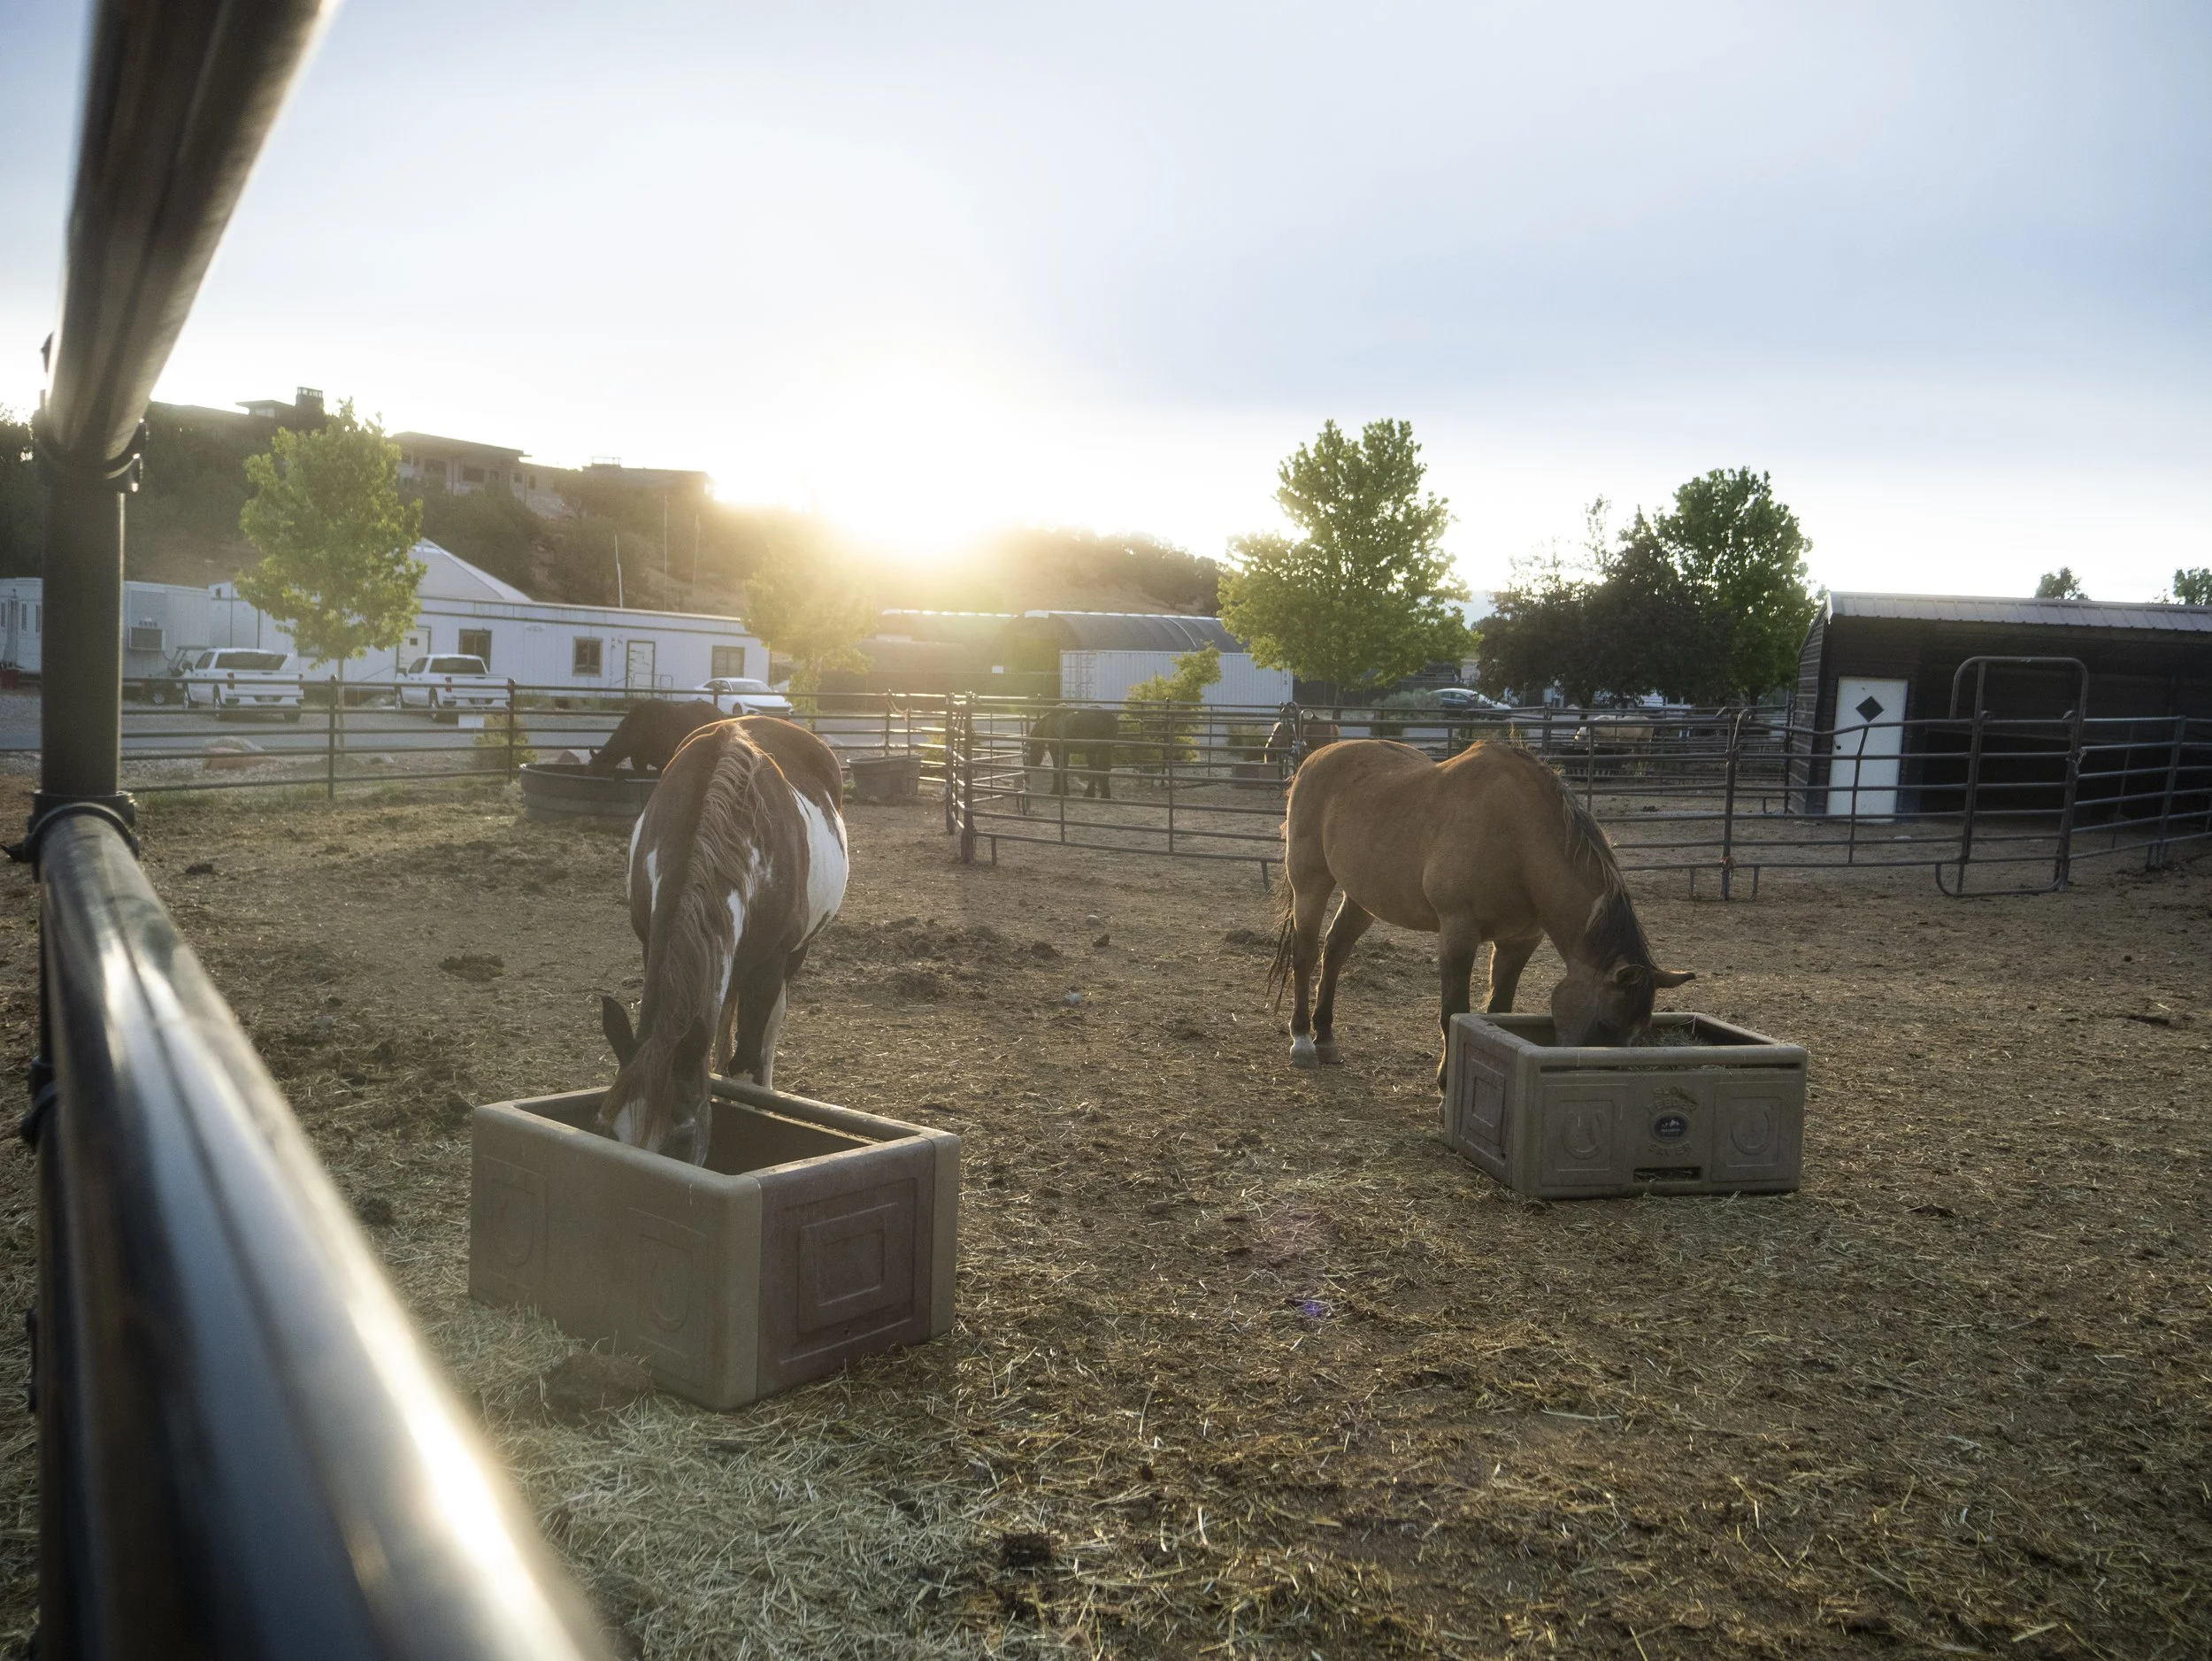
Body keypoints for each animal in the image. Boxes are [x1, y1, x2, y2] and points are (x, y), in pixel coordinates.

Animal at [596, 715, 848, 1163]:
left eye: (681, 1140)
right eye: (606, 1129)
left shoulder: (769, 967)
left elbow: (747, 1062)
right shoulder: (649, 943)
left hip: (794, 956)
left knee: (768, 1033)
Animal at [1267, 738, 1693, 1087]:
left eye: (1639, 1032)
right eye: (1606, 1022)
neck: (1517, 839)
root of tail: (1314, 759)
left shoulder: (1519, 942)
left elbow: (1497, 1011)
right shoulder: (1458, 933)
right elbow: (1453, 1012)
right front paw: (1445, 1085)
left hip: (1363, 896)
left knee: (1335, 950)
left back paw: (1326, 1037)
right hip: (1310, 883)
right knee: (1305, 955)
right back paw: (1303, 1040)